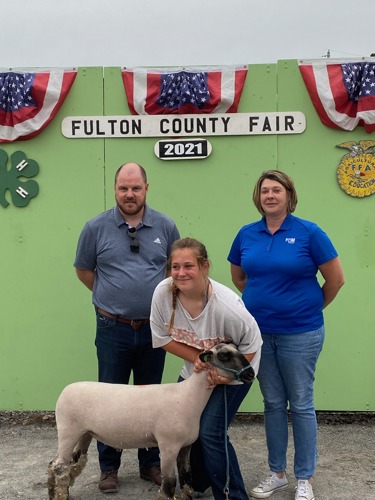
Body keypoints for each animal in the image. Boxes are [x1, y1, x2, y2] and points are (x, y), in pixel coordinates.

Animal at [46, 344, 253, 500]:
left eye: (238, 348)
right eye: (224, 355)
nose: (250, 374)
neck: (189, 396)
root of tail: (65, 390)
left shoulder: (186, 445)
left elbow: (186, 476)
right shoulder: (168, 445)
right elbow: (169, 484)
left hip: (85, 433)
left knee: (66, 462)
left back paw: (58, 492)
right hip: (68, 430)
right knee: (59, 466)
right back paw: (59, 494)